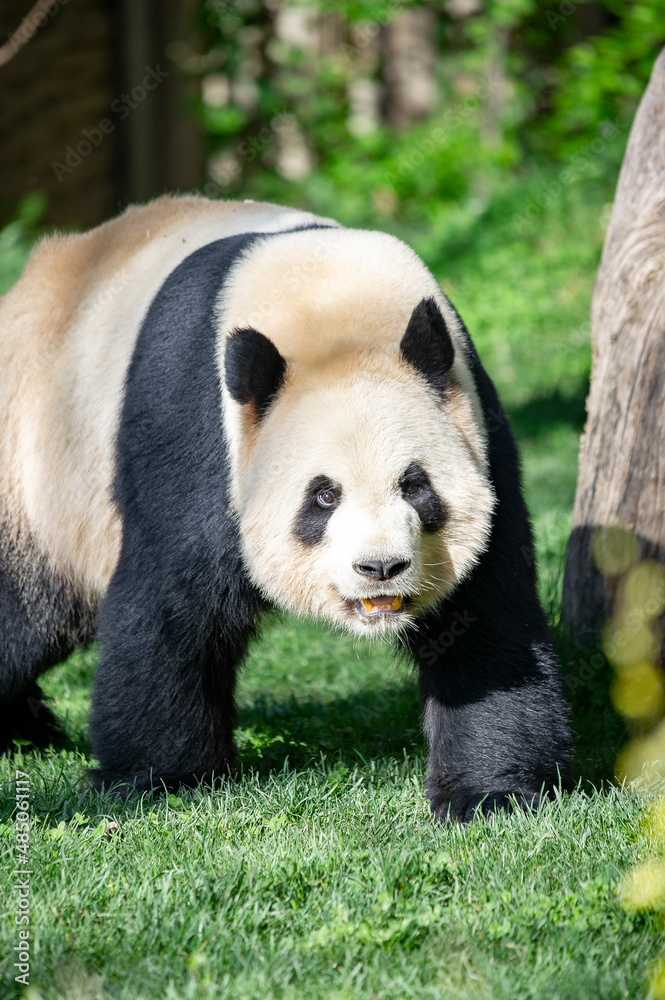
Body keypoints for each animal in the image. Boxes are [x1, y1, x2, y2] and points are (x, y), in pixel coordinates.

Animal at [0, 195, 571, 821]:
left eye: (415, 486)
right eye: (324, 495)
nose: (380, 568)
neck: (331, 305)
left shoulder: (477, 427)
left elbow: (485, 615)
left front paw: (490, 792)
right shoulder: (197, 431)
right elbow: (171, 602)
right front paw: (159, 779)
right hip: (38, 469)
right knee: (23, 611)